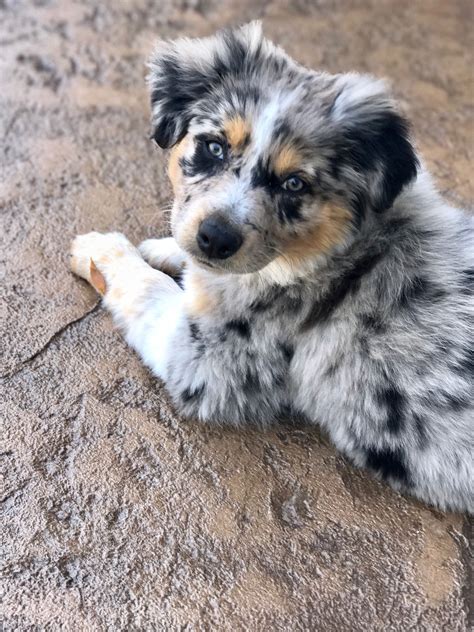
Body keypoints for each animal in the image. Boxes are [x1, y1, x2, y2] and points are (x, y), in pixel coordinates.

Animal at [71, 22, 474, 512]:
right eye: (213, 147)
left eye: (294, 184)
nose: (215, 238)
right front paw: (167, 249)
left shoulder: (210, 359)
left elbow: (149, 290)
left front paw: (104, 249)